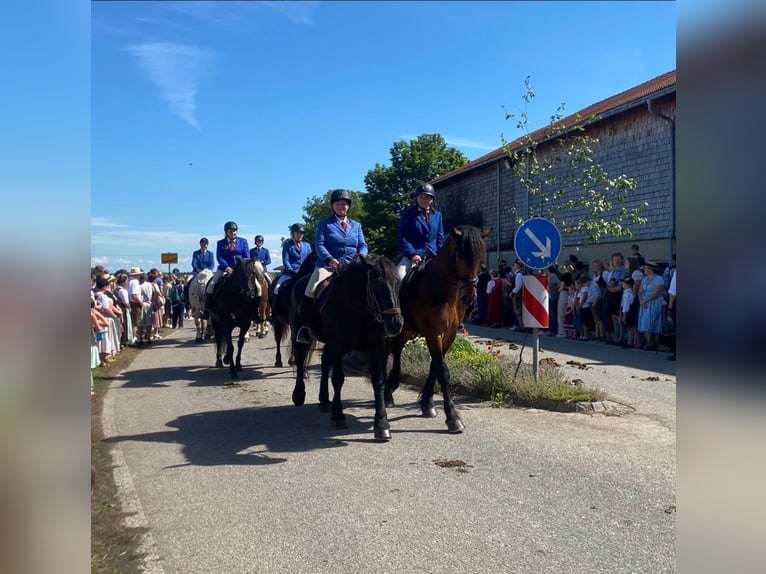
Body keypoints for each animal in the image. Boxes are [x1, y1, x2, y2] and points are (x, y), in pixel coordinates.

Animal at [292, 255, 404, 440]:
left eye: (397, 282)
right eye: (376, 285)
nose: (396, 323)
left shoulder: (374, 347)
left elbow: (378, 381)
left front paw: (381, 424)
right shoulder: (337, 346)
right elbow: (338, 379)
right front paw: (338, 417)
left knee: (324, 363)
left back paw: (324, 401)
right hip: (300, 335)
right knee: (300, 360)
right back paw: (299, 395)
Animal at [390, 227, 492, 434]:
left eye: (481, 259)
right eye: (460, 257)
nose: (469, 297)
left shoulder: (449, 333)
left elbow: (436, 366)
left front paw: (427, 404)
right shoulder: (432, 332)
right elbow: (442, 371)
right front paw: (453, 418)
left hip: (408, 329)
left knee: (397, 348)